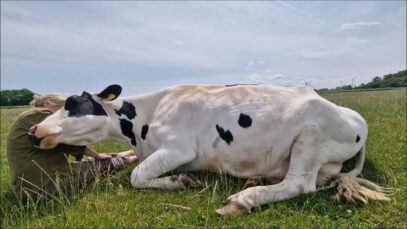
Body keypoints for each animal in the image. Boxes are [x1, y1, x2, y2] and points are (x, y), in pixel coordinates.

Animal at [29, 84, 392, 216]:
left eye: (73, 105)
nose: (35, 130)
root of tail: (354, 117)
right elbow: (132, 165)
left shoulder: (179, 149)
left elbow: (137, 175)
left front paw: (181, 181)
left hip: (310, 137)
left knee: (300, 184)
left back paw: (244, 199)